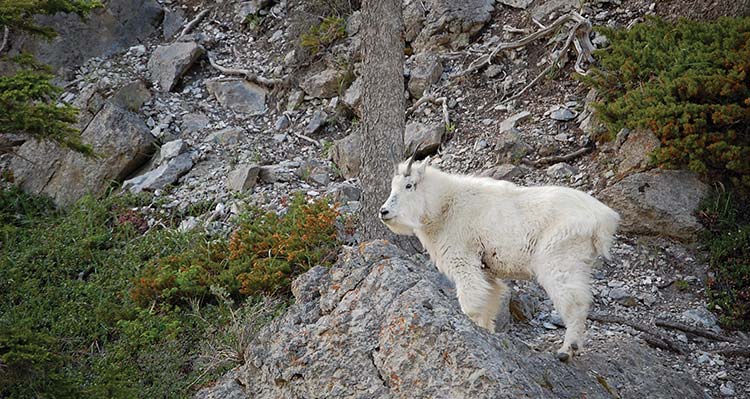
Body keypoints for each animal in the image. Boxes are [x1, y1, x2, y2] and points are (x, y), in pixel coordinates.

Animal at [382, 155, 624, 360]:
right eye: (393, 186)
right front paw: (486, 331)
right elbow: (489, 300)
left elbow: (471, 303)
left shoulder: (463, 259)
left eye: (409, 185)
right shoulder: (487, 271)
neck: (444, 206)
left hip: (560, 259)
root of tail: (604, 219)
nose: (383, 212)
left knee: (574, 302)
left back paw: (567, 349)